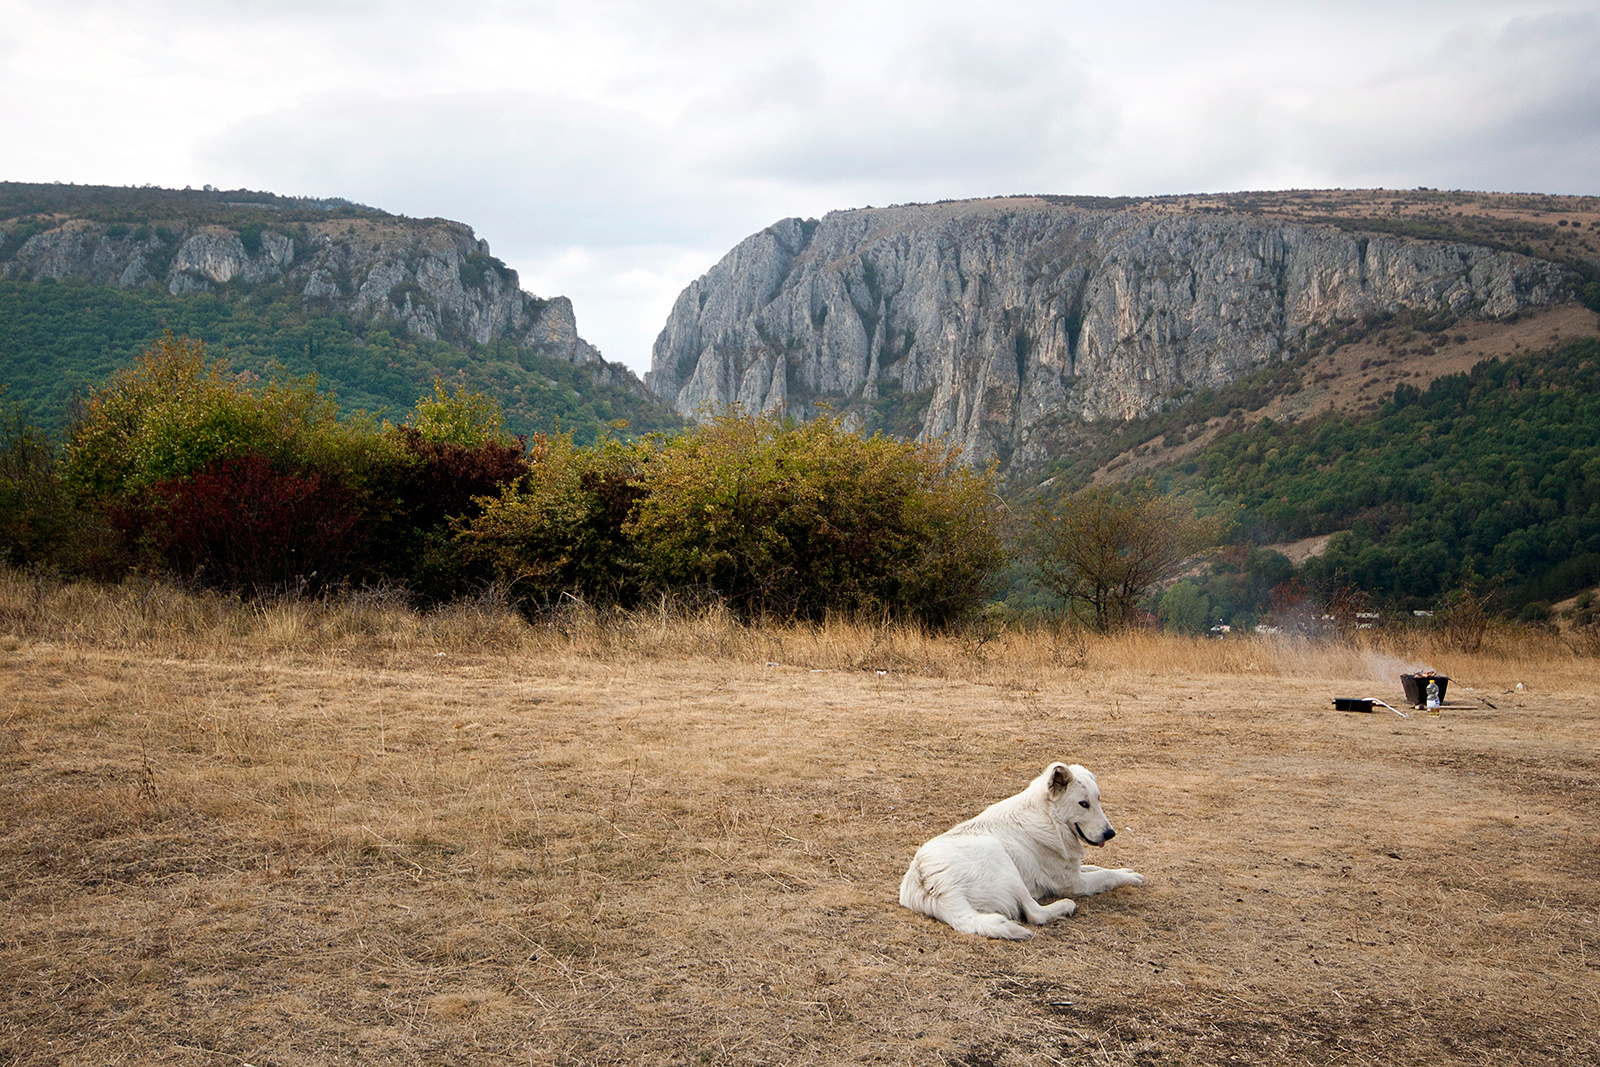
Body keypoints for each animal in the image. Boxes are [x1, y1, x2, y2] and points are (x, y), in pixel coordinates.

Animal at [902, 764, 1152, 940]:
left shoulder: (1073, 869)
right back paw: (1064, 907)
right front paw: (1128, 878)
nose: (1111, 834)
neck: (1050, 818)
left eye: (1098, 799)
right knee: (1035, 914)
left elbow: (1098, 868)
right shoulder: (1075, 883)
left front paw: (1126, 871)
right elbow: (1105, 876)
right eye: (1083, 804)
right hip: (1002, 859)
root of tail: (930, 880)